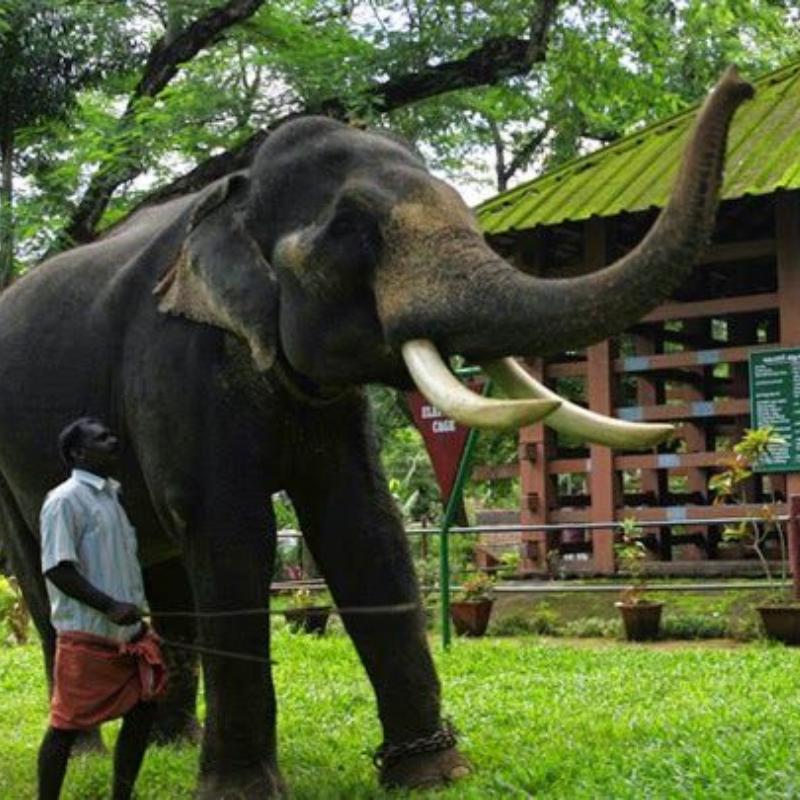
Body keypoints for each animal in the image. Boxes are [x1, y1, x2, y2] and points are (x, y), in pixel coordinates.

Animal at [0, 67, 752, 796]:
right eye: (354, 229)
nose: (739, 84)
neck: (235, 195)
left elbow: (364, 524)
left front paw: (431, 774)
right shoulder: (177, 361)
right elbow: (229, 529)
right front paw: (242, 791)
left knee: (160, 562)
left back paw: (173, 741)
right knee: (46, 573)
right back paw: (91, 753)